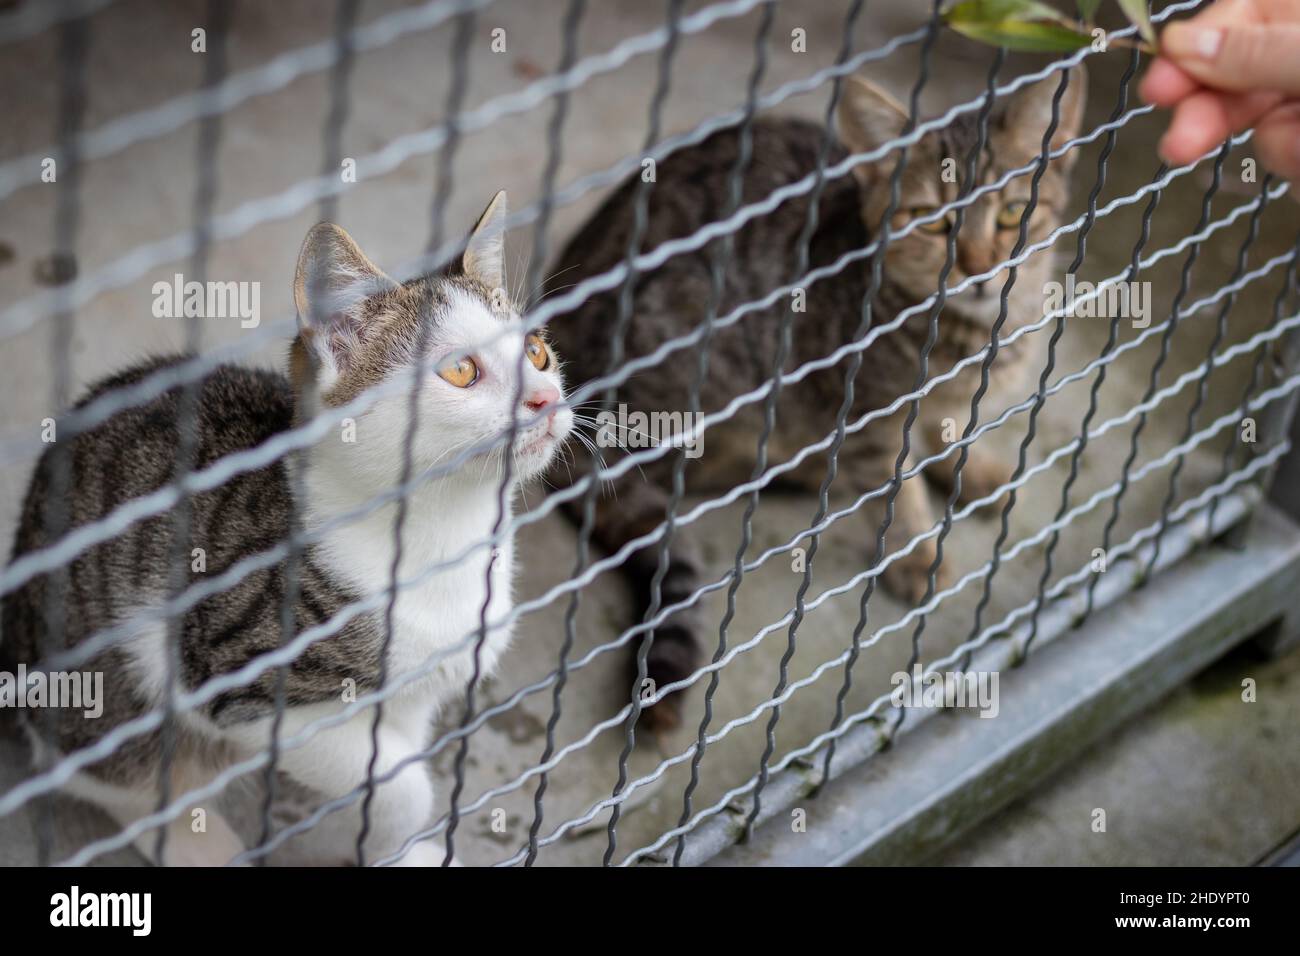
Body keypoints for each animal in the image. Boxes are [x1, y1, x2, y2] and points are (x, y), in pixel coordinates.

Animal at [0, 192, 572, 868]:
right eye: (461, 370)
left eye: (536, 351)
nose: (545, 398)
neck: (445, 531)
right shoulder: (238, 679)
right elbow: (400, 784)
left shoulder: (417, 691)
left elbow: (400, 766)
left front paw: (400, 852)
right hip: (106, 696)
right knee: (119, 776)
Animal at [546, 70, 1086, 728]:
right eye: (931, 222)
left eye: (1013, 212)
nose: (981, 267)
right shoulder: (864, 416)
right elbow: (898, 490)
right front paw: (916, 554)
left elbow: (950, 429)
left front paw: (970, 467)